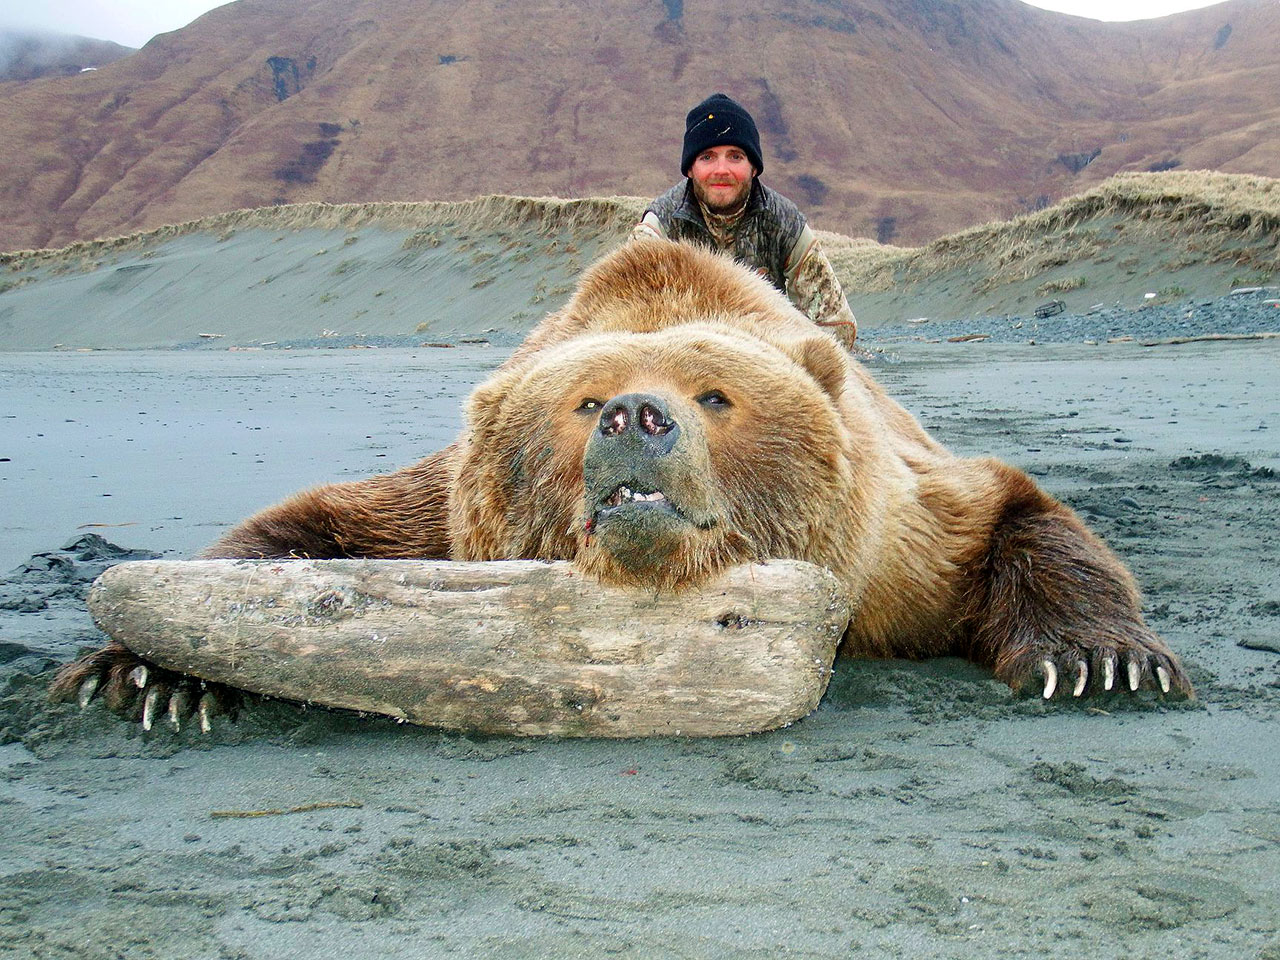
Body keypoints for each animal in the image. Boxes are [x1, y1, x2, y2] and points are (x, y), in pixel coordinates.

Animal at [49, 236, 1187, 727]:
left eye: (717, 393)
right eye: (581, 398)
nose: (638, 418)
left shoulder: (896, 542)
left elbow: (1009, 512)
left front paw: (1099, 660)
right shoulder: (445, 522)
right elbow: (317, 527)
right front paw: (151, 670)